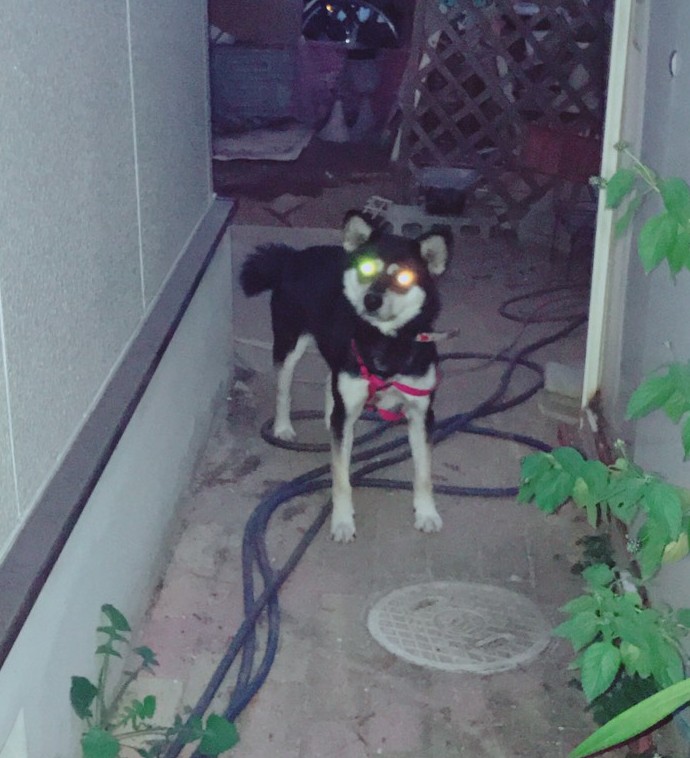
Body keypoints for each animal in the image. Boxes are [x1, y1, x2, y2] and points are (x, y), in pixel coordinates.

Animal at [240, 213, 451, 542]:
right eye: (367, 268)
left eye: (404, 277)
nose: (371, 300)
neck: (385, 343)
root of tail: (292, 257)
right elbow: (340, 478)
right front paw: (341, 521)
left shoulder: (421, 414)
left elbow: (423, 473)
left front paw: (427, 513)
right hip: (289, 345)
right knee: (284, 390)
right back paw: (284, 426)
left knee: (330, 386)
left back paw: (328, 420)